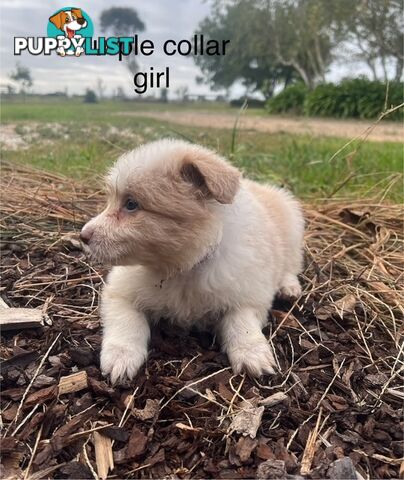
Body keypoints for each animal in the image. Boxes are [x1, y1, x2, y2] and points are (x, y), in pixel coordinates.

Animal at [81, 139, 304, 382]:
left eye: (131, 204)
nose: (82, 236)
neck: (183, 267)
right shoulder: (119, 292)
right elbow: (127, 321)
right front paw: (120, 357)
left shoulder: (249, 293)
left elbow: (241, 321)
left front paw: (252, 353)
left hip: (293, 227)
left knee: (292, 265)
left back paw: (289, 287)